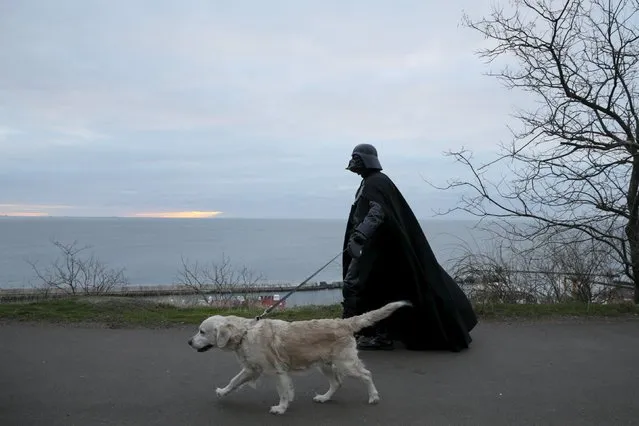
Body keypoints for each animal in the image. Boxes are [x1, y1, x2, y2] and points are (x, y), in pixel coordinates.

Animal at [188, 300, 412, 412]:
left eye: (201, 331)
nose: (189, 342)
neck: (244, 333)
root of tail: (344, 322)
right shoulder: (251, 369)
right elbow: (234, 381)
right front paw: (222, 392)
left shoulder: (277, 371)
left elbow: (283, 391)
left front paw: (281, 408)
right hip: (325, 365)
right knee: (337, 383)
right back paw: (324, 398)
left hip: (345, 363)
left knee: (366, 375)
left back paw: (373, 396)